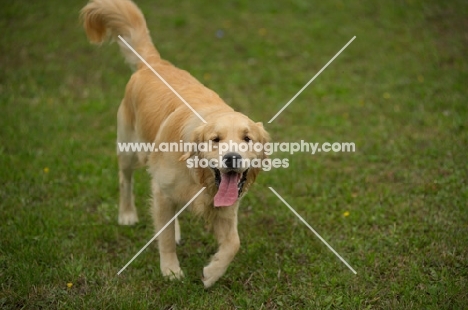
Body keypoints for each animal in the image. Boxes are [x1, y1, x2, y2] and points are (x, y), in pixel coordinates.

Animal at [81, 0, 270, 288]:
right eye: (215, 140)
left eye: (247, 138)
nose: (232, 158)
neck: (199, 176)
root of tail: (154, 63)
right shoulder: (163, 190)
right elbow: (166, 238)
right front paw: (170, 270)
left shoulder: (226, 206)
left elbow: (233, 244)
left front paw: (212, 273)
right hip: (129, 149)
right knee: (126, 180)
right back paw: (127, 215)